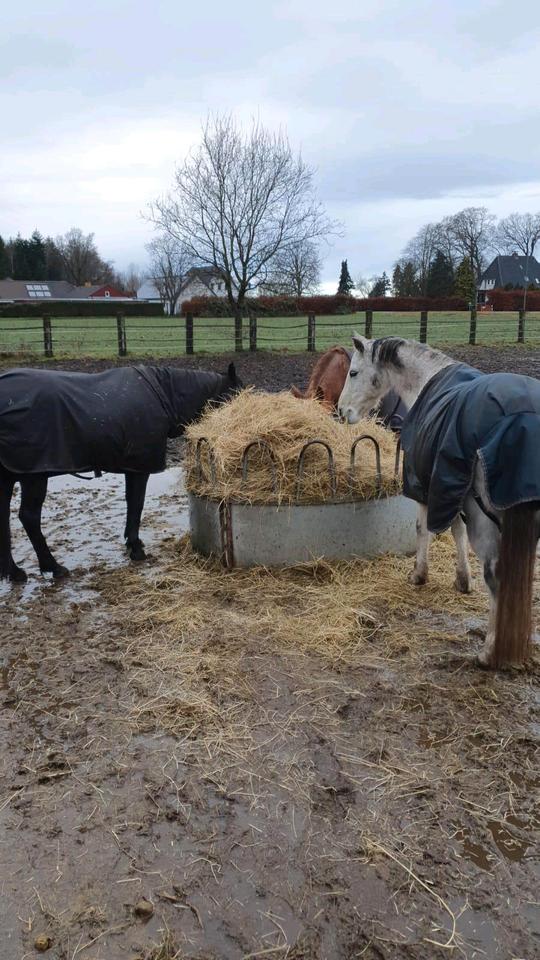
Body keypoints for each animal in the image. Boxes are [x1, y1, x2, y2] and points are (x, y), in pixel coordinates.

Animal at [0, 362, 240, 580]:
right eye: (235, 394)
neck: (163, 394)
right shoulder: (140, 467)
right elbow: (136, 504)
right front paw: (136, 549)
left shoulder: (131, 466)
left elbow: (130, 502)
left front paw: (133, 543)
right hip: (33, 477)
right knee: (29, 518)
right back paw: (53, 567)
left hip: (8, 478)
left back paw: (14, 572)